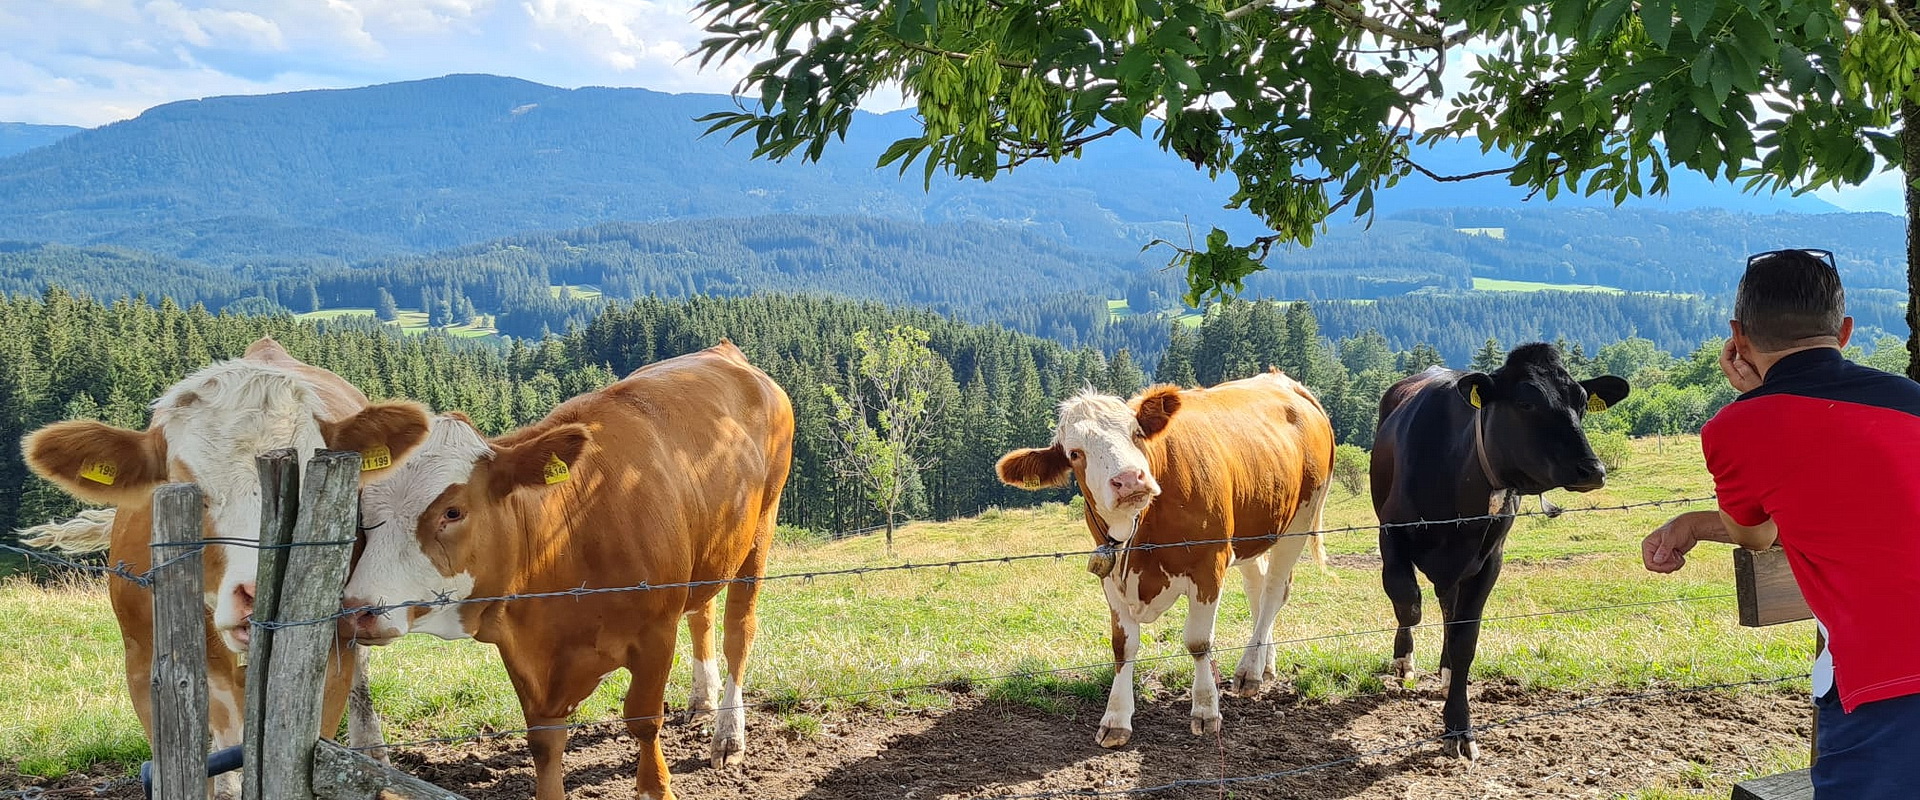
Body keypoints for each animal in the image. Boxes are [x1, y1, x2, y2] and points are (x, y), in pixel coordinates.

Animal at [343, 339, 794, 798]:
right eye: (362, 511)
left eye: (452, 511)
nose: (356, 610)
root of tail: (724, 351)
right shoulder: (526, 652)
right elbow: (544, 741)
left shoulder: (655, 632)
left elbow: (643, 719)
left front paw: (657, 786)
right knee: (701, 612)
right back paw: (702, 702)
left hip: (762, 526)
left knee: (738, 630)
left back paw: (729, 734)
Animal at [990, 370, 1336, 744]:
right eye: (1075, 453)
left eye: (1136, 433)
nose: (1129, 480)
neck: (1140, 531)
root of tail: (1282, 380)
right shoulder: (1109, 571)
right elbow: (1122, 646)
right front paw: (1116, 717)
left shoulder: (1209, 562)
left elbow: (1198, 641)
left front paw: (1205, 709)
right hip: (1255, 529)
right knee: (1257, 590)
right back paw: (1263, 664)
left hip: (1300, 519)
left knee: (1274, 591)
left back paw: (1248, 671)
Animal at [1374, 341, 1628, 755]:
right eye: (1526, 403)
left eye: (1582, 403)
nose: (1593, 469)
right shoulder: (1391, 531)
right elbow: (1407, 600)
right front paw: (1403, 659)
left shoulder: (1489, 561)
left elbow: (1465, 638)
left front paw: (1458, 725)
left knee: (1449, 607)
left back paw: (1445, 669)